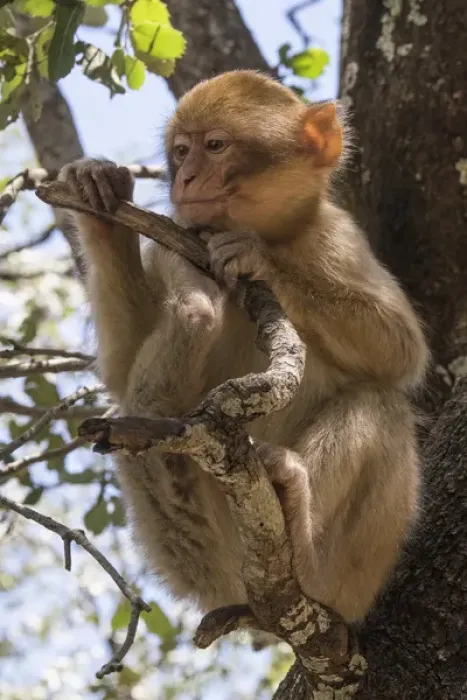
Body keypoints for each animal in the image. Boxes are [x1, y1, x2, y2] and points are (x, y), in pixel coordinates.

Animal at [59, 70, 429, 625]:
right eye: (181, 150)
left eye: (215, 146)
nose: (186, 178)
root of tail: (247, 591)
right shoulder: (172, 242)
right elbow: (119, 373)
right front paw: (100, 199)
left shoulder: (338, 236)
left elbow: (402, 351)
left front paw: (259, 261)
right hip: (191, 543)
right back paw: (194, 310)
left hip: (355, 579)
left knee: (380, 402)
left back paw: (304, 543)